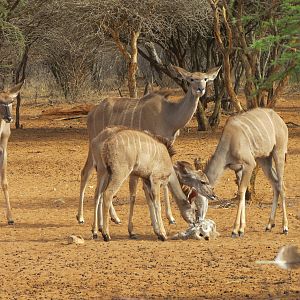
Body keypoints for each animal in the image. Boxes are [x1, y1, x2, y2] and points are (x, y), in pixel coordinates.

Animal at [204, 108, 288, 237]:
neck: (229, 140)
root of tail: (280, 120)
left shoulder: (249, 164)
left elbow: (241, 191)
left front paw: (236, 230)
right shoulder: (238, 169)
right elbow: (241, 194)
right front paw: (241, 228)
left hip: (279, 153)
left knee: (281, 185)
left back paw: (285, 227)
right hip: (264, 160)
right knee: (275, 185)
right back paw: (269, 224)